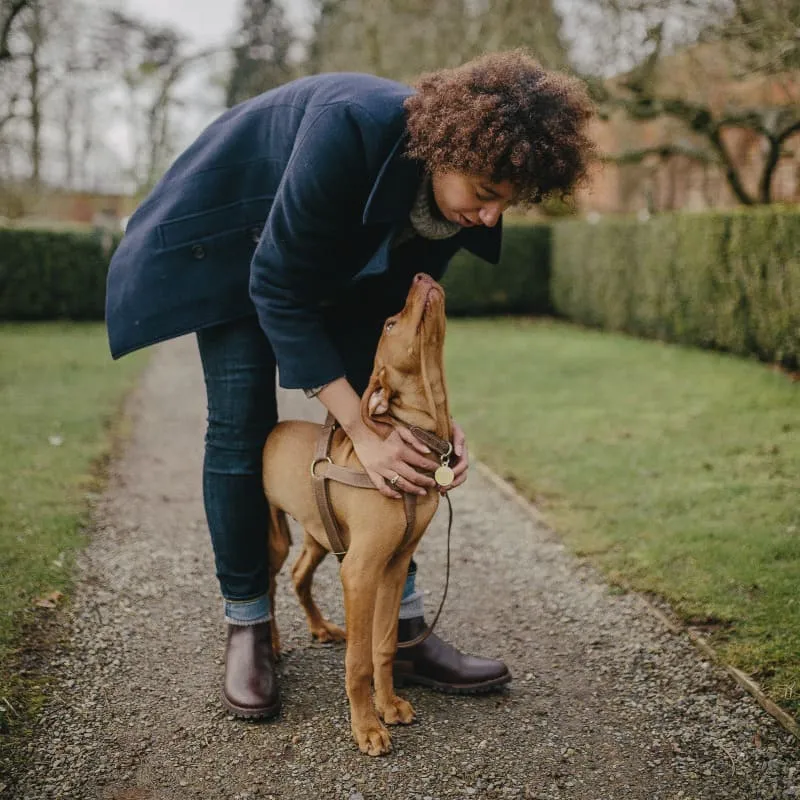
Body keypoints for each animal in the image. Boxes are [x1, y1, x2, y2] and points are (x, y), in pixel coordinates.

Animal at [262, 272, 450, 752]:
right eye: (389, 323)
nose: (421, 276)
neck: (414, 432)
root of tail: (275, 428)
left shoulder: (395, 565)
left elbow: (383, 646)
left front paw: (389, 705)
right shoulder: (361, 571)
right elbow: (359, 661)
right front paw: (366, 727)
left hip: (318, 533)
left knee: (299, 575)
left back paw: (321, 627)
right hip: (274, 534)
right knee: (268, 584)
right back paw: (269, 642)